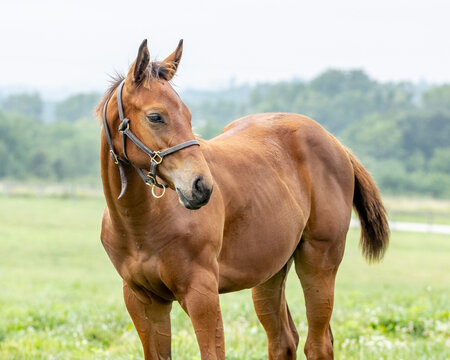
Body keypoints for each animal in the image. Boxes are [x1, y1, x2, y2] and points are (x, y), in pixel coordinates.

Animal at [96, 39, 388, 360]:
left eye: (188, 116)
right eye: (155, 116)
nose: (201, 187)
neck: (140, 224)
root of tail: (335, 143)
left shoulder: (201, 293)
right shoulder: (143, 300)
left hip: (319, 260)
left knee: (318, 343)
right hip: (271, 271)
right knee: (283, 340)